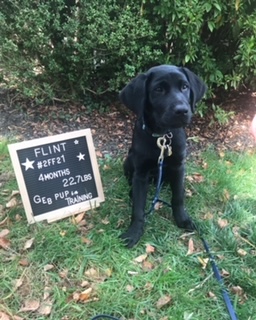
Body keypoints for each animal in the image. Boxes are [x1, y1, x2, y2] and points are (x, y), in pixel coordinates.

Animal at [119, 65, 207, 248]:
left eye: (185, 87)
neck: (162, 136)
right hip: (128, 160)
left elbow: (178, 197)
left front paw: (182, 219)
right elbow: (138, 207)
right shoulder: (140, 172)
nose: (182, 111)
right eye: (158, 90)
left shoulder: (179, 166)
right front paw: (133, 233)